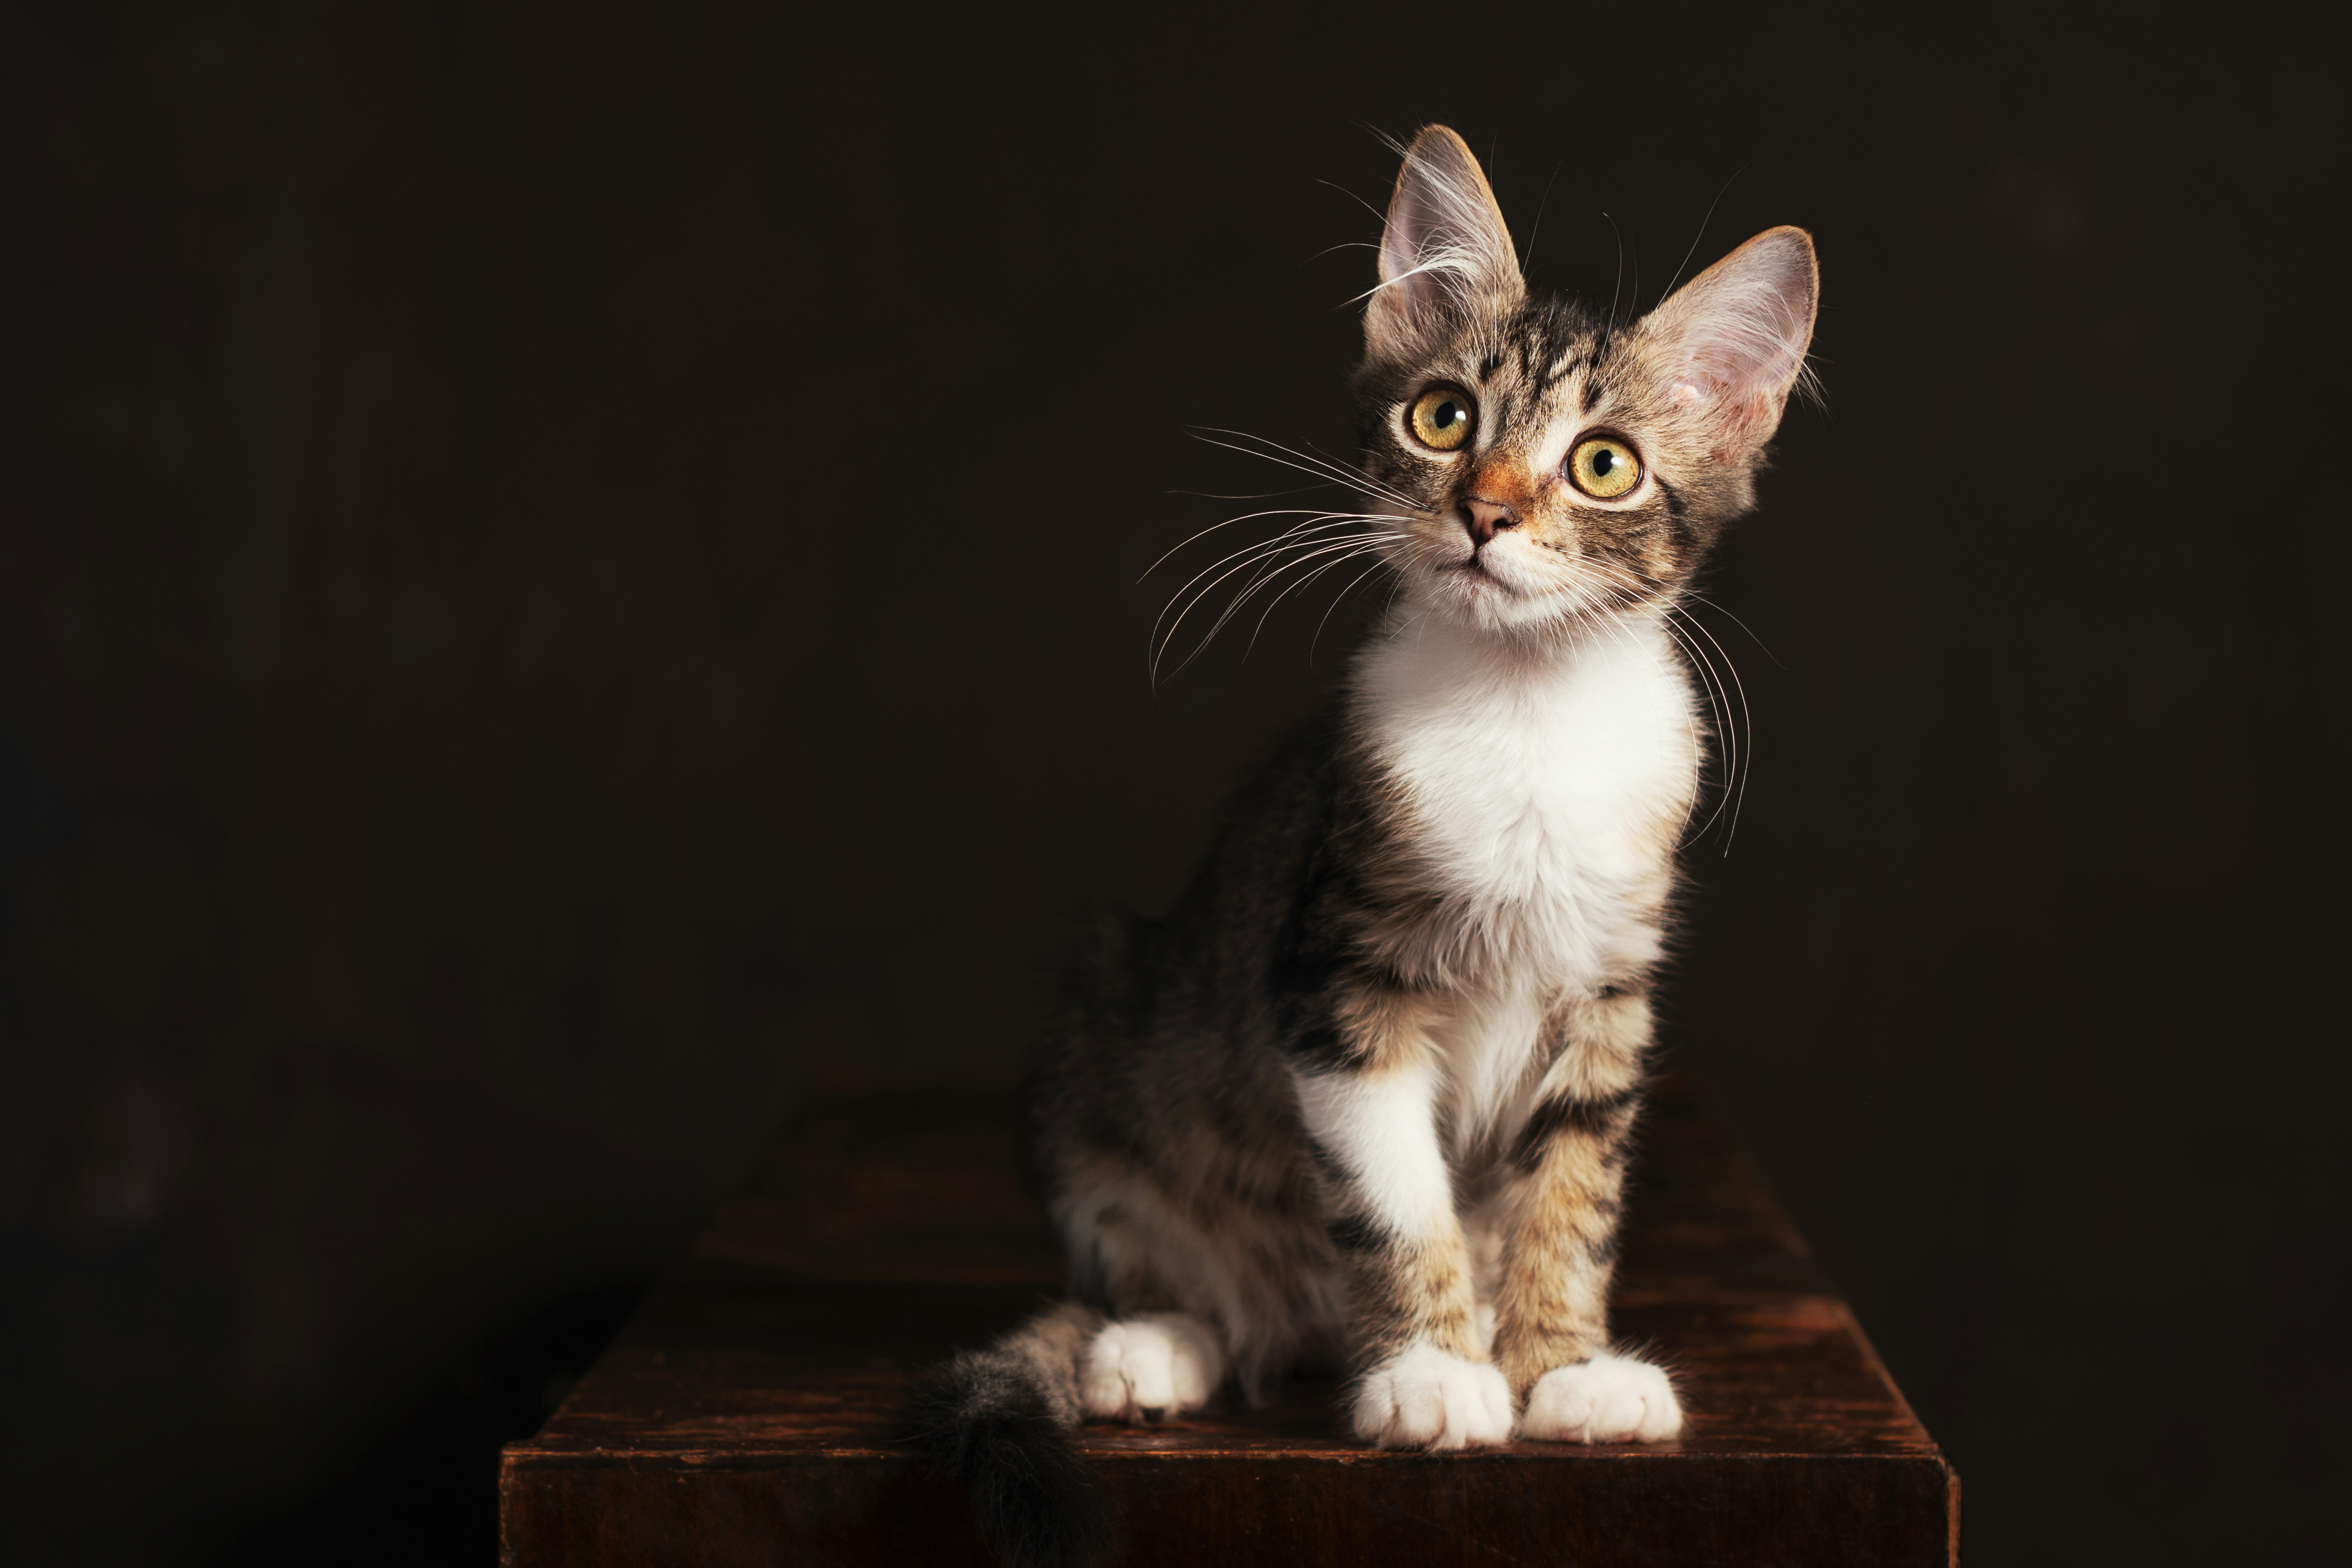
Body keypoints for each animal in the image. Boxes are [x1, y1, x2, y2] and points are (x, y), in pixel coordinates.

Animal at [912, 125, 1815, 1568]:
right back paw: (1156, 1344)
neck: (1523, 708)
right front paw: (1434, 1372)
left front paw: (1561, 1364)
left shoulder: (1608, 991)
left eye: (1601, 463)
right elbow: (1396, 1199)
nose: (1486, 513)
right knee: (1185, 1274)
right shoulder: (1337, 978)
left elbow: (1570, 1193)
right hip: (1102, 1025)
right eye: (1441, 418)